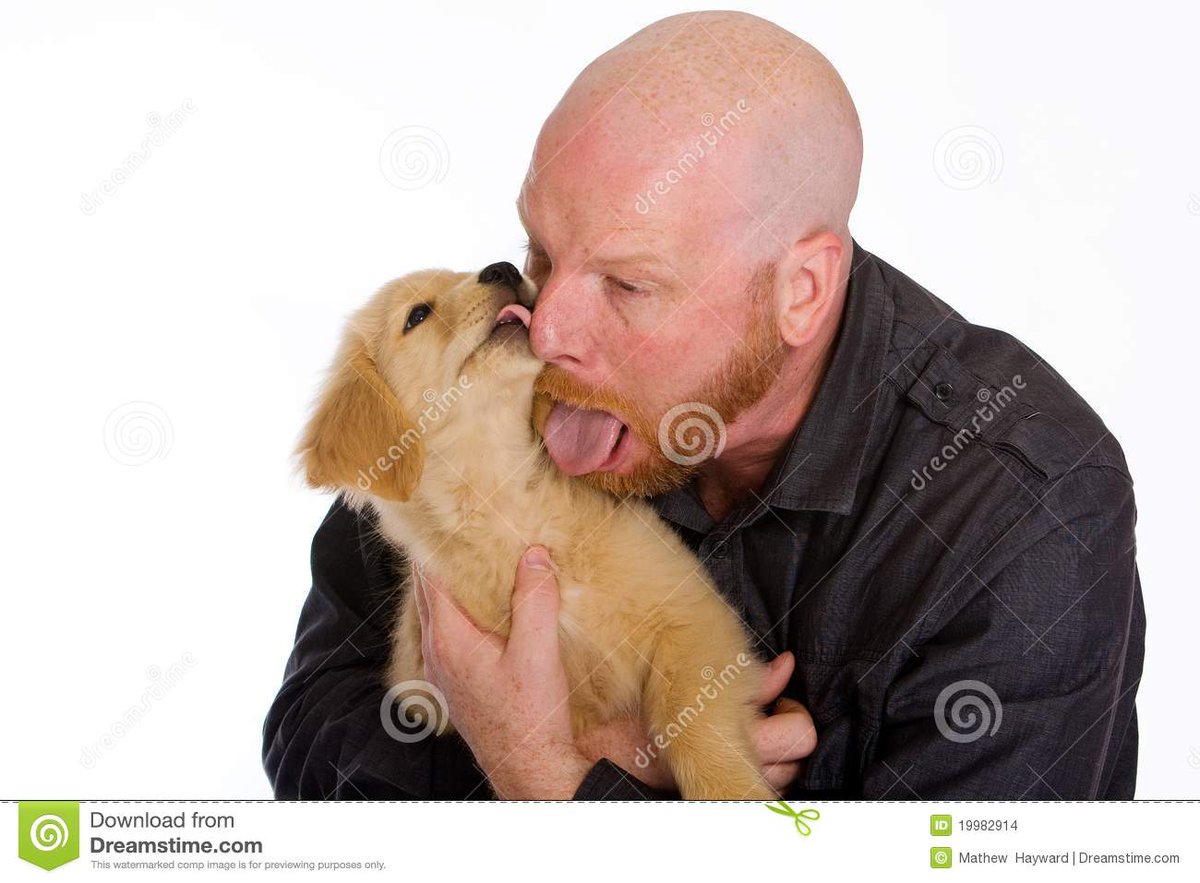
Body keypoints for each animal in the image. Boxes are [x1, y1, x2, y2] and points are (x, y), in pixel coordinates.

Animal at [297, 262, 771, 800]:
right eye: (417, 315)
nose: (500, 268)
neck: (508, 499)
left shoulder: (690, 613)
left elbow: (690, 720)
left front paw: (733, 789)